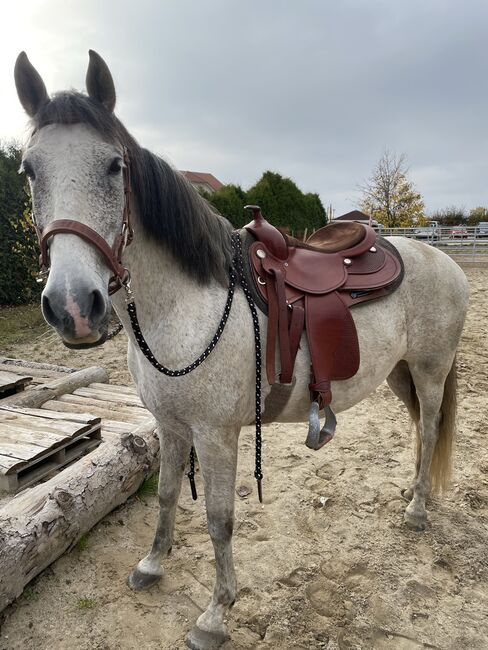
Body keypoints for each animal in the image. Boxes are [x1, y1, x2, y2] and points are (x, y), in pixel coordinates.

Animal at [14, 52, 468, 648]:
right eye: (28, 169)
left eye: (114, 166)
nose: (72, 305)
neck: (187, 304)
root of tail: (445, 260)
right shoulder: (170, 424)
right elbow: (166, 495)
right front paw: (152, 565)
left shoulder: (215, 433)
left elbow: (218, 519)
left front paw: (215, 614)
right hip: (399, 373)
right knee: (419, 430)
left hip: (430, 370)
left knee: (432, 428)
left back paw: (416, 509)